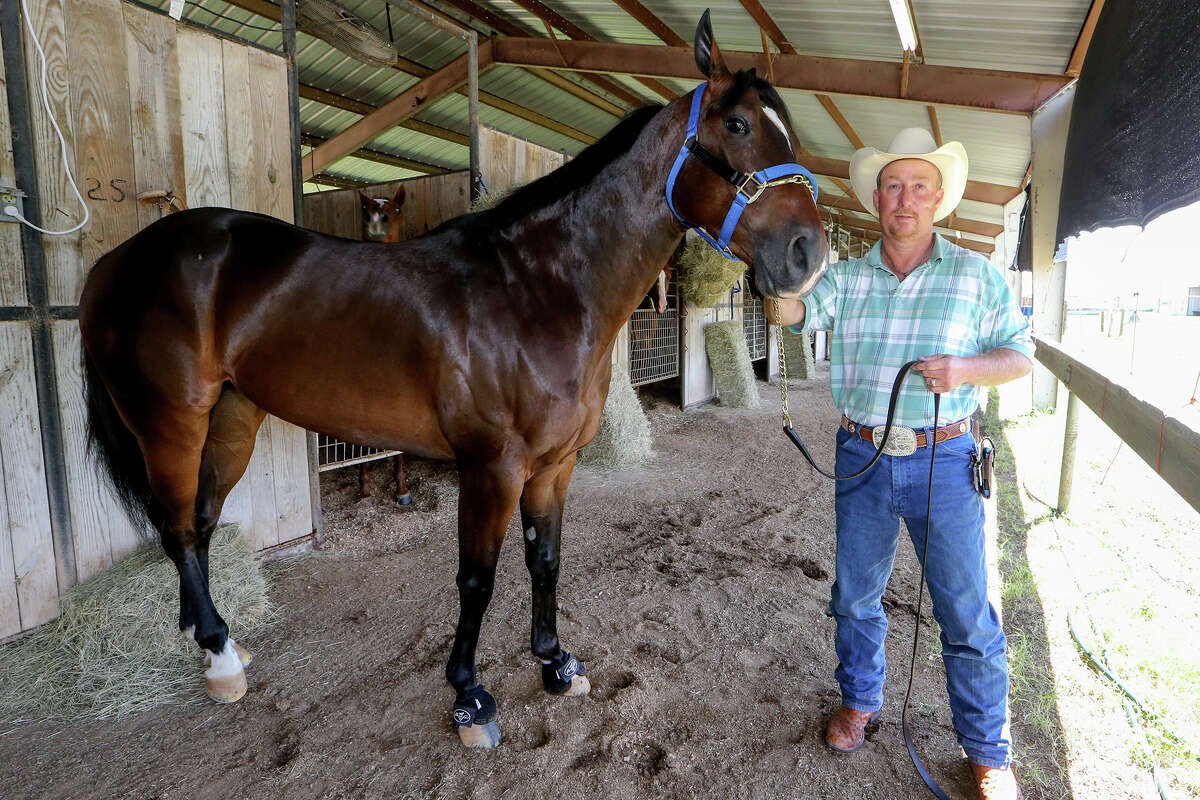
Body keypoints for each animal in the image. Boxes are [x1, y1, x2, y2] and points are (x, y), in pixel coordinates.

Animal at [78, 11, 827, 749]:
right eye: (738, 126)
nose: (808, 254)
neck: (537, 293)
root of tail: (115, 263)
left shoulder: (556, 465)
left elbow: (545, 561)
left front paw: (555, 663)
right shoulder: (492, 467)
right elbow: (477, 579)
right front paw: (469, 697)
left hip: (234, 416)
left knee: (202, 523)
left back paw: (213, 642)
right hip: (170, 422)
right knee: (177, 528)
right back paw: (220, 657)